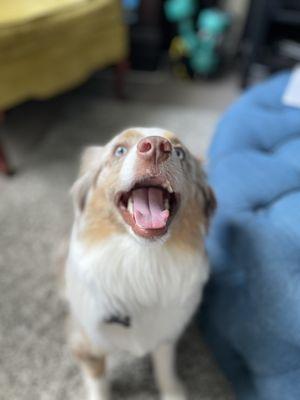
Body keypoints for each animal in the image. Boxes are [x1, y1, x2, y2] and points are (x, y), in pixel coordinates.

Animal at [65, 126, 216, 398]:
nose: (156, 146)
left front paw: (173, 392)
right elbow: (98, 382)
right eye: (119, 150)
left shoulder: (166, 333)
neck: (142, 264)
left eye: (180, 152)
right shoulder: (86, 342)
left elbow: (165, 368)